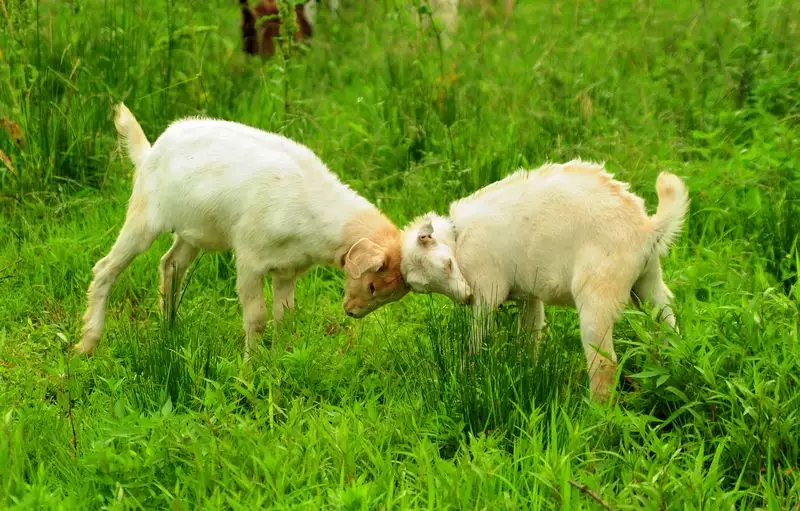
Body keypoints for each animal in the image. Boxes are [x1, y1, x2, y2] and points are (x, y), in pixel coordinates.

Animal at [77, 104, 410, 360]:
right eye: (372, 284)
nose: (352, 312)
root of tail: (147, 154)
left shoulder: (287, 269)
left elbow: (285, 317)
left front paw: (280, 360)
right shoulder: (250, 260)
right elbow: (257, 318)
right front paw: (250, 366)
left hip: (193, 231)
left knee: (170, 264)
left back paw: (170, 327)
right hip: (143, 216)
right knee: (105, 268)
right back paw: (88, 343)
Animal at [404, 162, 692, 402]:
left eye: (447, 264)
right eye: (423, 288)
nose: (465, 297)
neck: (459, 236)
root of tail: (647, 230)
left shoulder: (487, 291)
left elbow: (477, 337)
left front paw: (465, 374)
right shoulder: (527, 297)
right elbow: (529, 337)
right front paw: (525, 371)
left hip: (597, 298)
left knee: (605, 363)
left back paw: (595, 414)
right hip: (648, 283)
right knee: (669, 328)